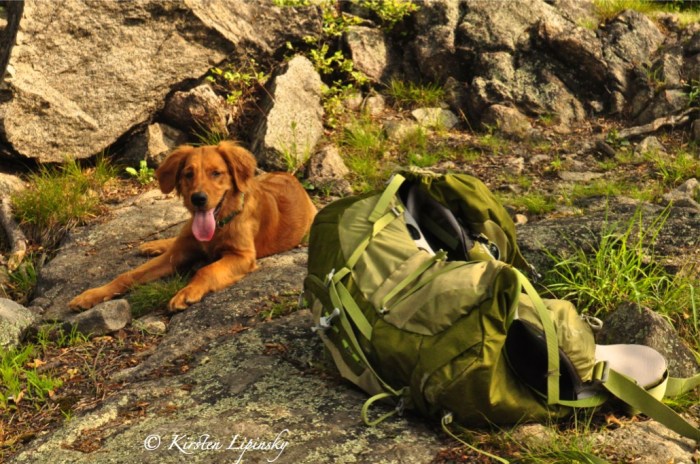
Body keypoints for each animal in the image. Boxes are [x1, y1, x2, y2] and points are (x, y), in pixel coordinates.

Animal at [69, 141, 317, 312]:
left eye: (216, 173)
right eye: (188, 174)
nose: (198, 198)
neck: (219, 226)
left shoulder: (242, 255)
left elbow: (206, 269)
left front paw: (187, 291)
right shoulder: (177, 254)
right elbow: (128, 275)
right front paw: (91, 295)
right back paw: (154, 244)